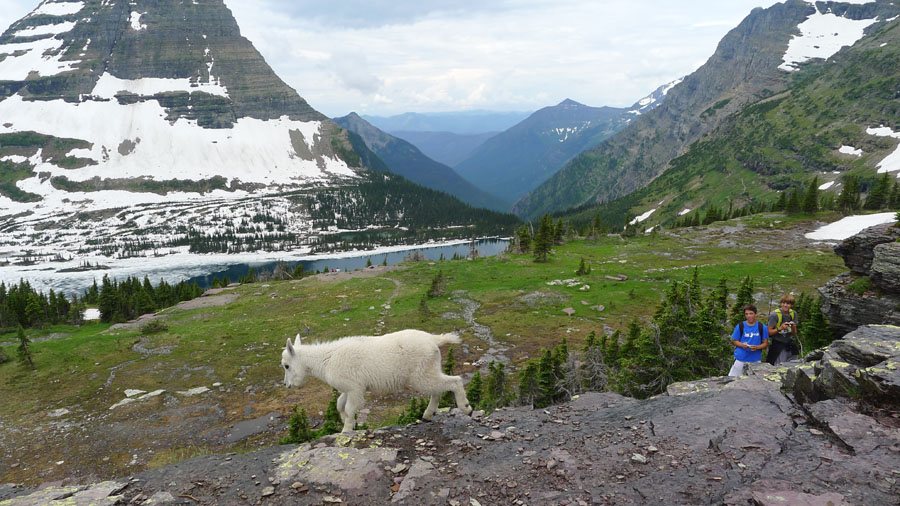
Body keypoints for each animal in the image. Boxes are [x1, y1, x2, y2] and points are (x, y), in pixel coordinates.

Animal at [282, 330, 474, 432]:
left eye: (286, 366)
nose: (287, 385)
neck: (325, 360)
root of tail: (434, 340)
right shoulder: (349, 388)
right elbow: (339, 405)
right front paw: (348, 422)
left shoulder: (355, 387)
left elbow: (349, 408)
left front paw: (347, 429)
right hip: (429, 370)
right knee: (437, 390)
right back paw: (427, 415)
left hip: (422, 374)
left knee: (454, 381)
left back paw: (466, 408)